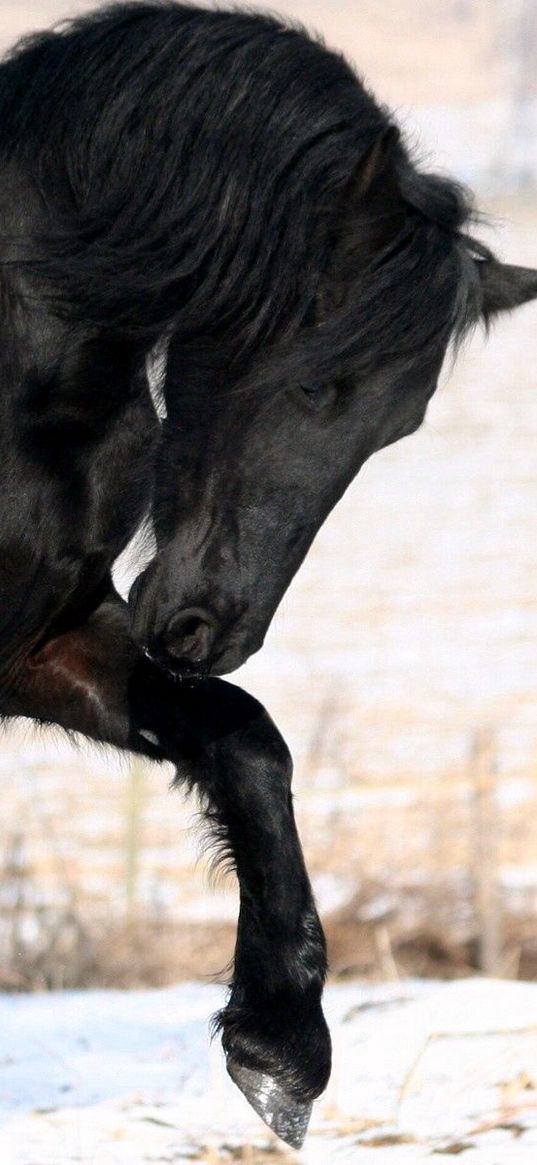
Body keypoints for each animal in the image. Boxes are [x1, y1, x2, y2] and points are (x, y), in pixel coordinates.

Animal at [1, 0, 535, 1146]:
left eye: (396, 425)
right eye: (316, 380)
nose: (213, 628)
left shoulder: (45, 641)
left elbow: (249, 744)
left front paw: (281, 1047)